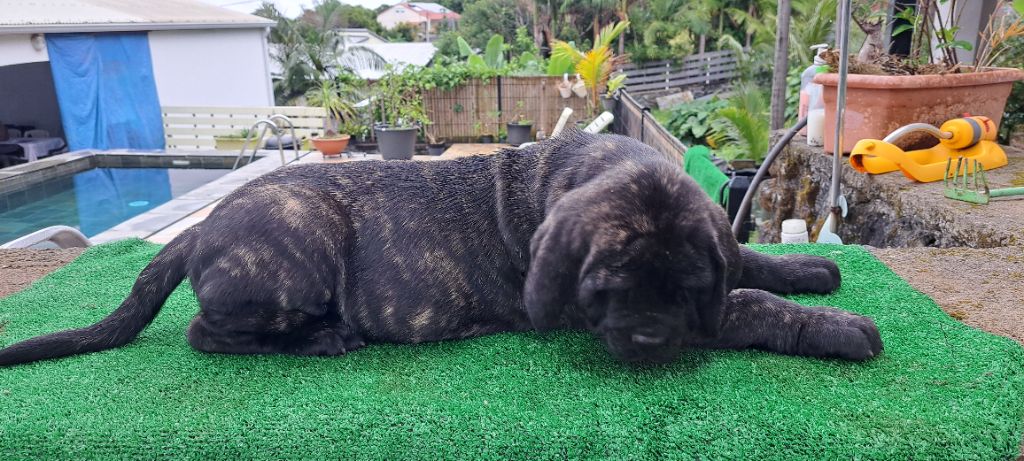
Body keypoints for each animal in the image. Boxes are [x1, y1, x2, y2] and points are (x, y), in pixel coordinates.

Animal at [0, 130, 881, 366]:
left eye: (685, 279)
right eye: (604, 284)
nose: (648, 340)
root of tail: (197, 227)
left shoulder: (712, 257)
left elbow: (746, 266)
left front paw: (812, 268)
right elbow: (748, 306)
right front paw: (839, 328)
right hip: (303, 237)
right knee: (204, 331)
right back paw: (321, 338)